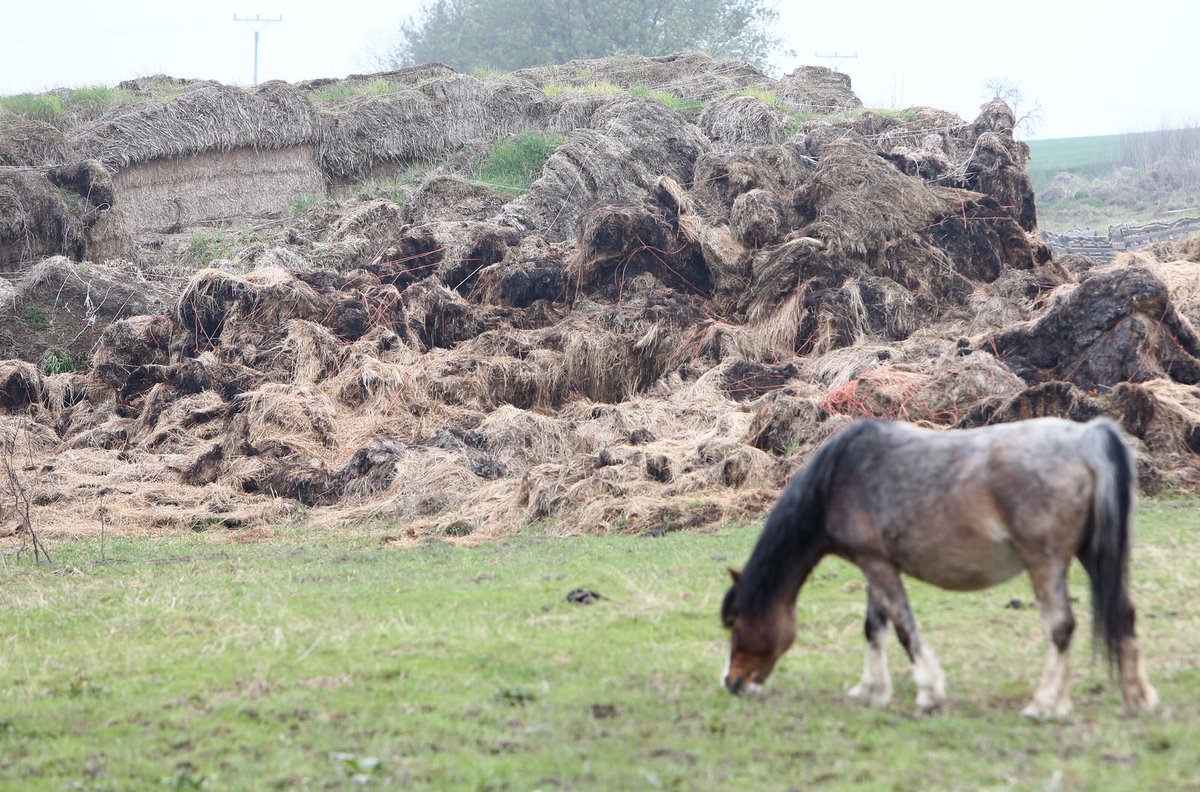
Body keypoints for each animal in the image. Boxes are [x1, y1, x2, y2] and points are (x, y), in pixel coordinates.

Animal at [715, 417, 1156, 720]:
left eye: (735, 623)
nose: (732, 683)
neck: (838, 479)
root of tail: (1086, 437)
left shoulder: (878, 566)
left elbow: (903, 628)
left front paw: (928, 693)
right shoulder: (875, 565)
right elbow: (874, 628)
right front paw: (870, 690)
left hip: (1045, 564)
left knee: (1061, 628)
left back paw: (1044, 704)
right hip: (1089, 554)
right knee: (1124, 614)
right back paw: (1136, 698)